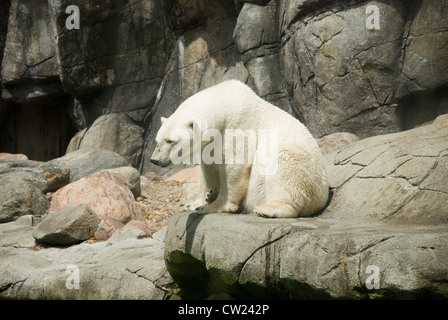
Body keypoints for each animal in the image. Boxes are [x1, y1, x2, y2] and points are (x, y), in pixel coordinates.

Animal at [150, 80, 328, 218]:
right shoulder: (210, 144)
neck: (225, 102)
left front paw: (213, 206)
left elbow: (235, 166)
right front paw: (195, 202)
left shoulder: (238, 128)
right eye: (157, 140)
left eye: (170, 141)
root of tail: (323, 195)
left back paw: (269, 209)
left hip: (304, 171)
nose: (154, 160)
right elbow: (208, 170)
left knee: (283, 166)